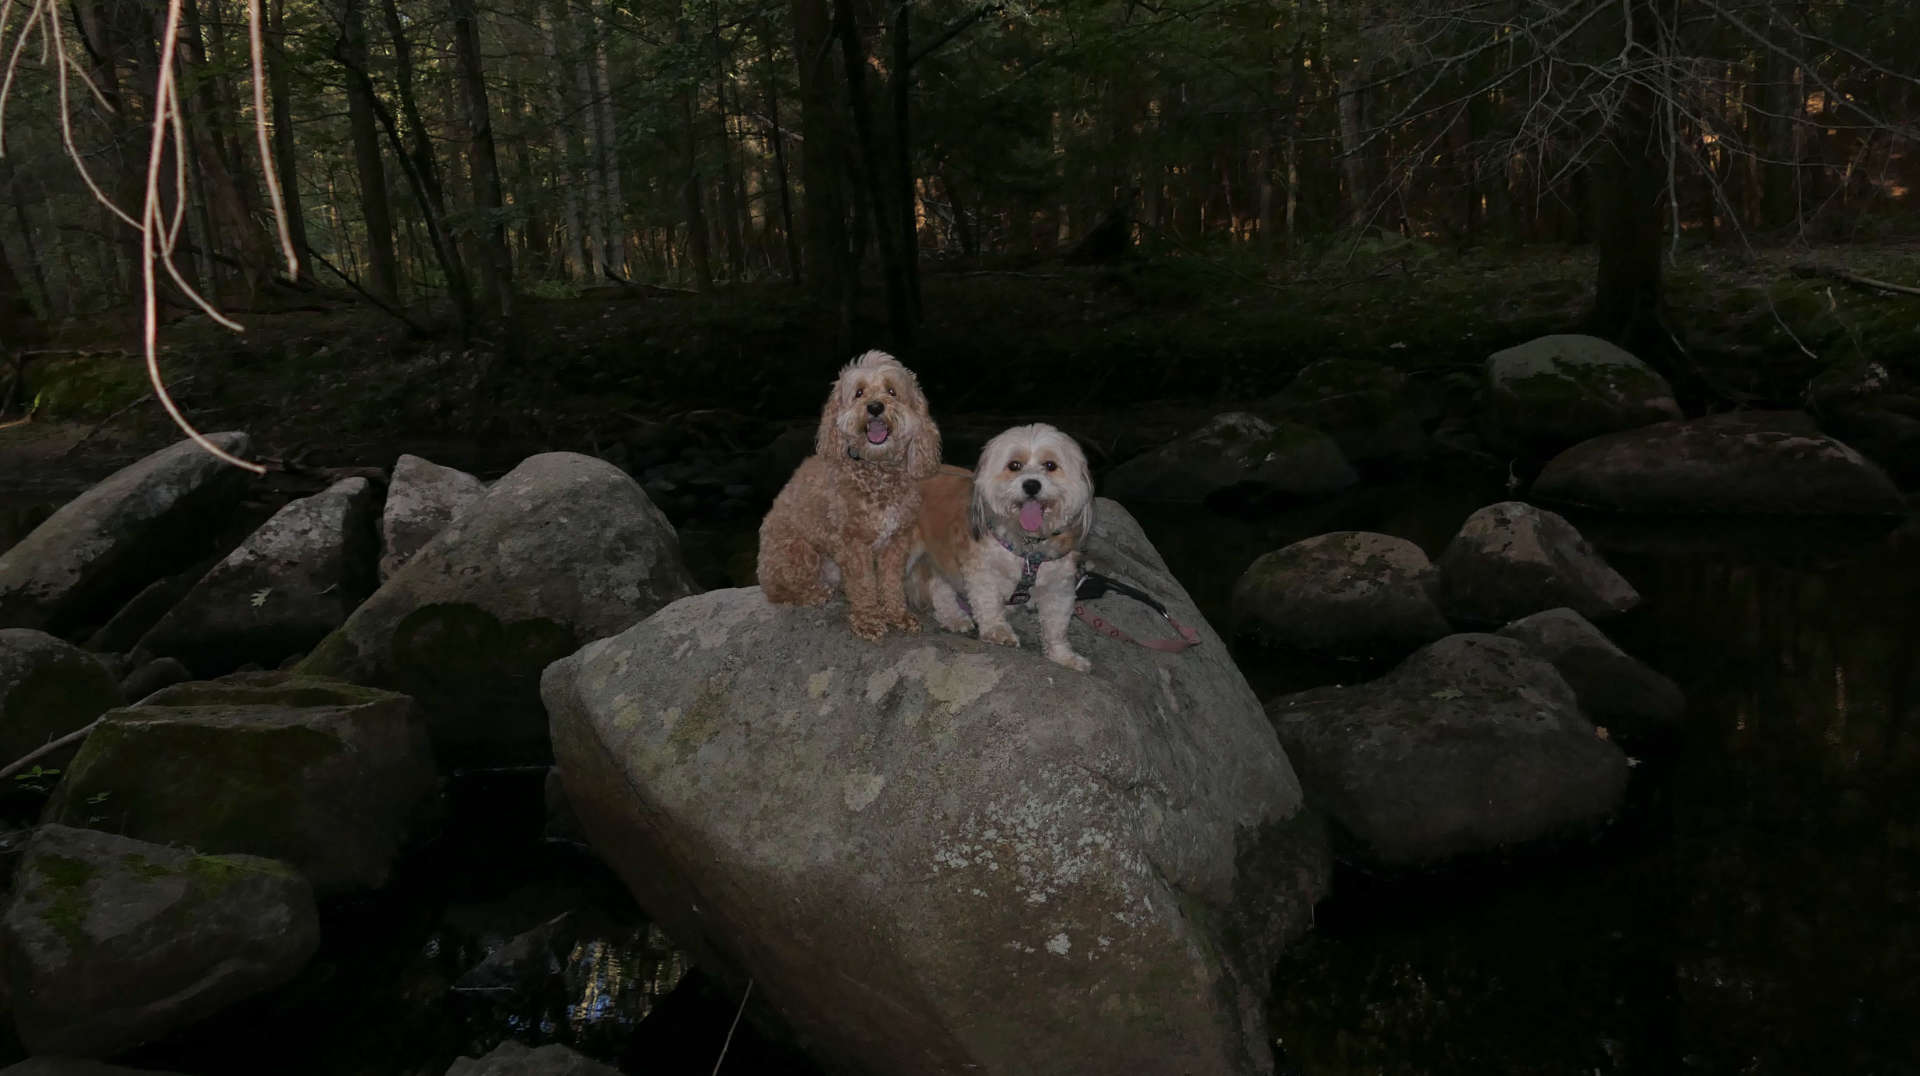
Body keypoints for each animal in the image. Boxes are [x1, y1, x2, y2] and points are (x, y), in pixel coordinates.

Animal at [752, 351, 940, 637]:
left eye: (892, 391)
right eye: (859, 392)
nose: (875, 407)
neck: (876, 471)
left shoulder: (897, 541)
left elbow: (891, 583)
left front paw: (897, 614)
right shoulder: (854, 544)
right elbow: (863, 584)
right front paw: (868, 619)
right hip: (798, 552)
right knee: (780, 592)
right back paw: (815, 594)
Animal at [902, 422, 1090, 668]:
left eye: (1050, 465)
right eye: (1014, 465)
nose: (1031, 485)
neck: (1027, 546)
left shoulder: (1058, 587)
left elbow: (1056, 626)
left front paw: (1063, 656)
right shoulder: (982, 571)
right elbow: (988, 602)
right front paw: (998, 631)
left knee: (939, 588)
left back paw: (953, 617)